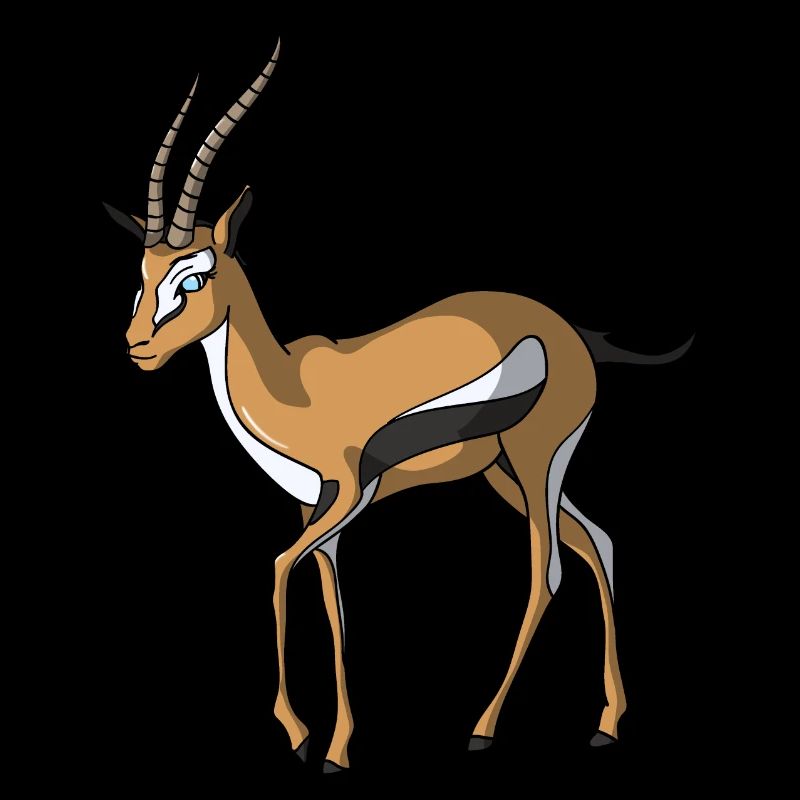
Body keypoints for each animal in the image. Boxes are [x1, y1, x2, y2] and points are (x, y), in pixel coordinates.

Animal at [105, 40, 692, 772]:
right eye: (142, 276)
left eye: (194, 277)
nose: (137, 348)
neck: (291, 389)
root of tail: (571, 333)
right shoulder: (315, 508)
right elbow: (330, 603)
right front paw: (333, 744)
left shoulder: (351, 492)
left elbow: (277, 569)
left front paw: (304, 736)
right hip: (507, 473)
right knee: (599, 542)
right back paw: (607, 724)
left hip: (537, 460)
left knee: (548, 569)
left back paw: (483, 727)